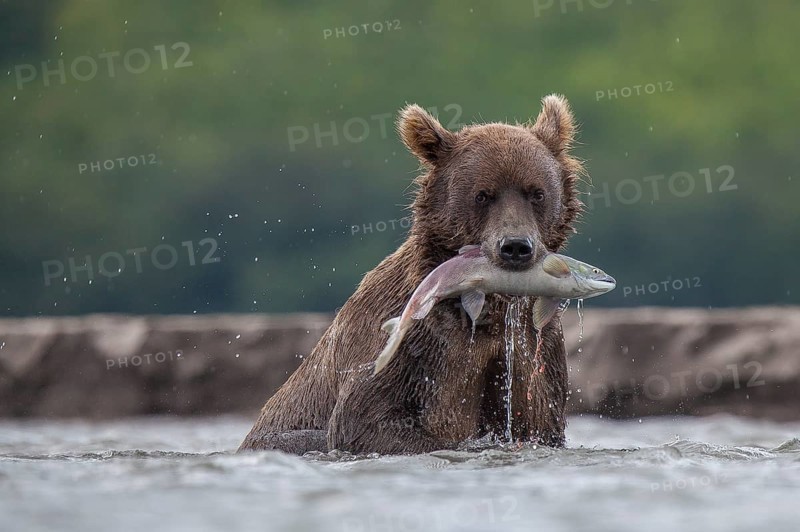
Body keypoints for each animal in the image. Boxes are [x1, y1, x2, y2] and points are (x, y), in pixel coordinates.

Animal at [239, 94, 584, 455]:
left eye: (536, 193)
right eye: (483, 194)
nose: (515, 247)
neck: (489, 309)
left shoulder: (535, 348)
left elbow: (537, 420)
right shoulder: (413, 340)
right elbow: (364, 417)